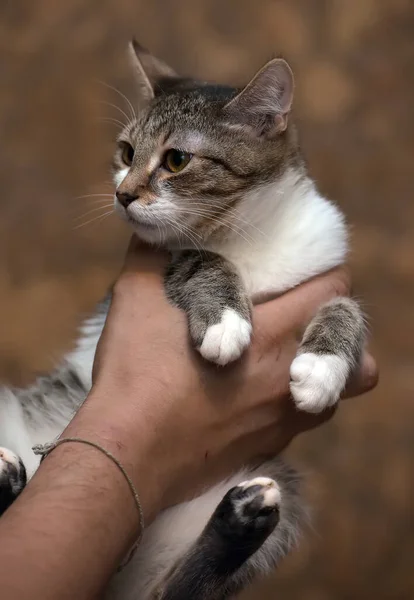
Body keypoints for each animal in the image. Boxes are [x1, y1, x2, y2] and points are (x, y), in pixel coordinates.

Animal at [0, 42, 364, 600]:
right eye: (127, 152)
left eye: (177, 160)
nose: (123, 194)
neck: (247, 238)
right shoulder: (162, 258)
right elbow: (199, 259)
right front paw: (225, 322)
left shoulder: (322, 268)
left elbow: (347, 307)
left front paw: (322, 369)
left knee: (177, 590)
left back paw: (243, 516)